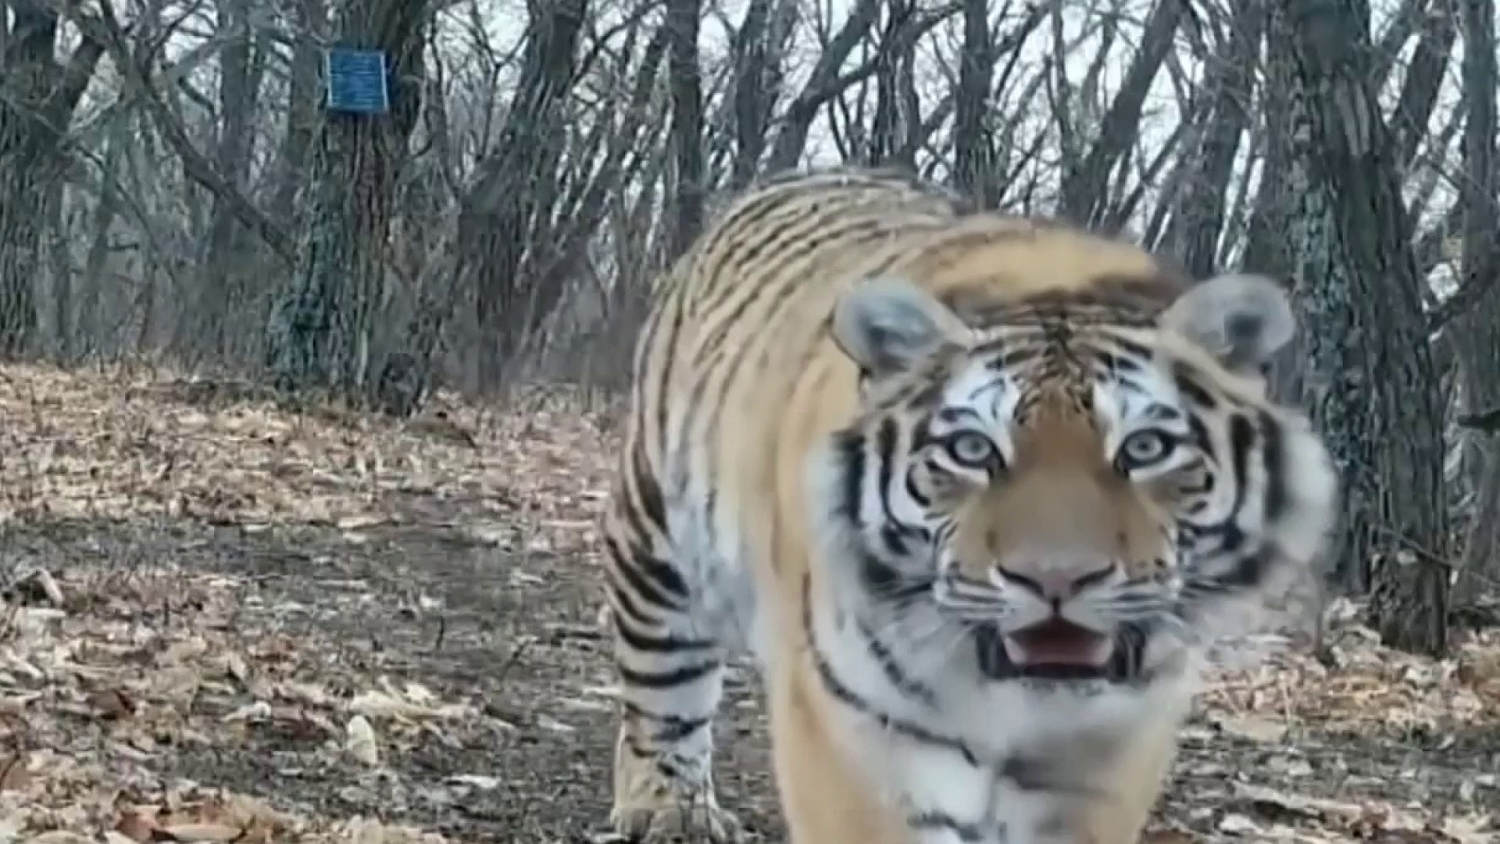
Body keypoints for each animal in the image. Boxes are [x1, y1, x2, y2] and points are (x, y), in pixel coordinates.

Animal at [597, 167, 1338, 843]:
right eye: (973, 449)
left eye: (1147, 447)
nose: (1057, 579)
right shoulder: (858, 730)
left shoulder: (1115, 748)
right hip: (657, 545)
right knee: (664, 689)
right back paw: (670, 811)